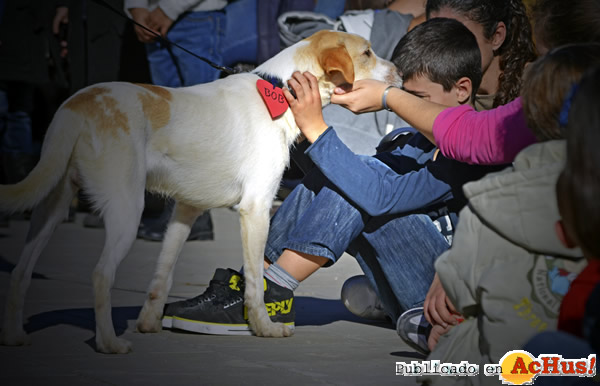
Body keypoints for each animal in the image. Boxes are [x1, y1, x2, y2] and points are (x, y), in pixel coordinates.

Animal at [1, 30, 404, 352]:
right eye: (367, 53)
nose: (399, 71)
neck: (281, 89)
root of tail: (77, 103)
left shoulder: (186, 210)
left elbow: (162, 275)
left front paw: (150, 323)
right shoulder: (256, 208)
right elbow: (254, 282)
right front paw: (263, 327)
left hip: (51, 207)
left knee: (20, 271)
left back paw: (15, 336)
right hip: (127, 208)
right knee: (100, 274)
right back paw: (109, 343)